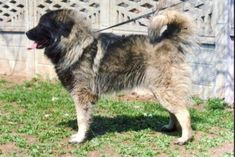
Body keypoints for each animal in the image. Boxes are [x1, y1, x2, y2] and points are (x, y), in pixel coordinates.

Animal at [25, 8, 196, 145]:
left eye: (42, 25)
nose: (26, 33)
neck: (75, 45)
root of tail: (169, 38)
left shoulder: (81, 95)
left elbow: (81, 119)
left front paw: (79, 138)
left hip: (164, 89)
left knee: (184, 112)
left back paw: (184, 138)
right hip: (161, 90)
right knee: (174, 111)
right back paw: (171, 128)